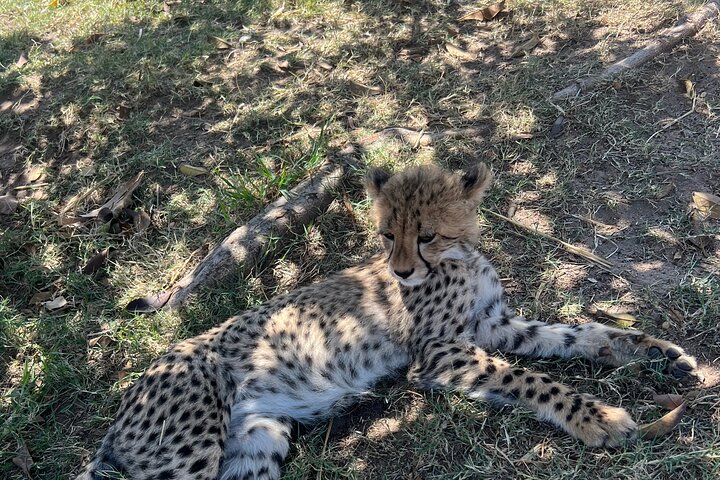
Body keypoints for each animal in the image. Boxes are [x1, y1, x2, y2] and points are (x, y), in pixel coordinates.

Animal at [77, 162, 699, 480]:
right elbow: (532, 379)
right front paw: (598, 417)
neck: (460, 256)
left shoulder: (493, 326)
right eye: (384, 234)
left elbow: (579, 334)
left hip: (257, 438)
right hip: (190, 446)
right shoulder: (440, 352)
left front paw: (657, 354)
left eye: (425, 233)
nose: (401, 272)